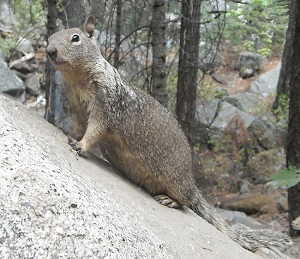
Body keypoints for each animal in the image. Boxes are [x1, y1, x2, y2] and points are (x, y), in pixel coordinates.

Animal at [47, 15, 292, 252]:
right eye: (50, 37)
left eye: (76, 38)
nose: (50, 51)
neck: (77, 80)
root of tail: (192, 183)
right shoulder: (78, 108)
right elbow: (79, 126)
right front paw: (65, 129)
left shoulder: (106, 107)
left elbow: (95, 130)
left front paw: (81, 145)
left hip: (176, 182)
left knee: (186, 202)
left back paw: (171, 201)